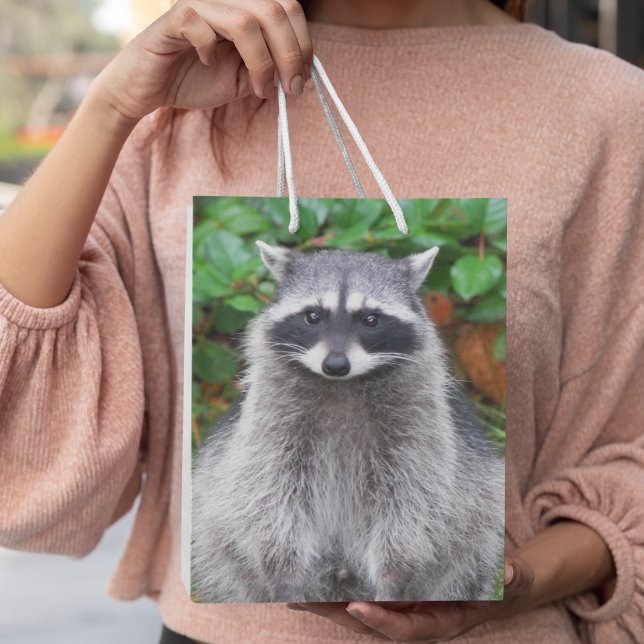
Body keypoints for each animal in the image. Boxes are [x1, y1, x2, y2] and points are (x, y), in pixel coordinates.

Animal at [191, 242, 504, 603]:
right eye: (313, 316)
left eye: (371, 319)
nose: (336, 364)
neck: (342, 386)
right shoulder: (270, 423)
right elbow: (269, 495)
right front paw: (283, 571)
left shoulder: (420, 429)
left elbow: (410, 503)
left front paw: (393, 576)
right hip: (218, 538)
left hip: (476, 524)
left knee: (469, 556)